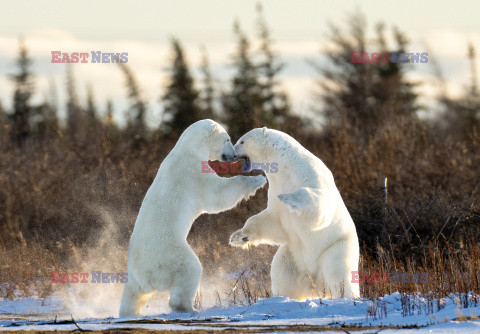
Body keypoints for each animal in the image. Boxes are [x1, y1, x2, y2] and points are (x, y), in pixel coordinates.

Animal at [119, 119, 266, 316]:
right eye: (227, 139)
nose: (234, 155)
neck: (188, 149)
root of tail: (145, 274)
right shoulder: (193, 173)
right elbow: (217, 195)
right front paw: (258, 178)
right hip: (170, 255)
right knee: (190, 270)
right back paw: (190, 307)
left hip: (135, 278)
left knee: (133, 295)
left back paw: (129, 312)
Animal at [230, 128, 360, 300]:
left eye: (242, 141)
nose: (231, 153)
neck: (288, 165)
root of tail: (315, 282)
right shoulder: (276, 187)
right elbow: (273, 221)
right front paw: (238, 237)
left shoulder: (309, 174)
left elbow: (319, 205)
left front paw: (288, 198)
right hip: (292, 257)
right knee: (282, 274)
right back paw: (282, 297)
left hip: (336, 248)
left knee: (338, 274)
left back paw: (346, 297)